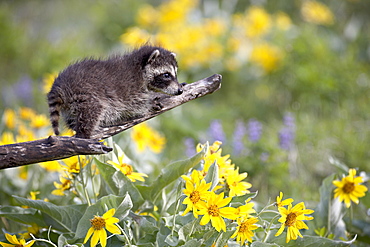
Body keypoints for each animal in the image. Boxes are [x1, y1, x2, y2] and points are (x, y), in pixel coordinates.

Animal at [47, 45, 184, 139]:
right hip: (85, 93)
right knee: (93, 110)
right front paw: (149, 103)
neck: (140, 68)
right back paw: (85, 134)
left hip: (70, 107)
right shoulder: (131, 88)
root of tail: (59, 86)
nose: (180, 91)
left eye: (175, 74)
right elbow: (135, 105)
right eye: (166, 75)